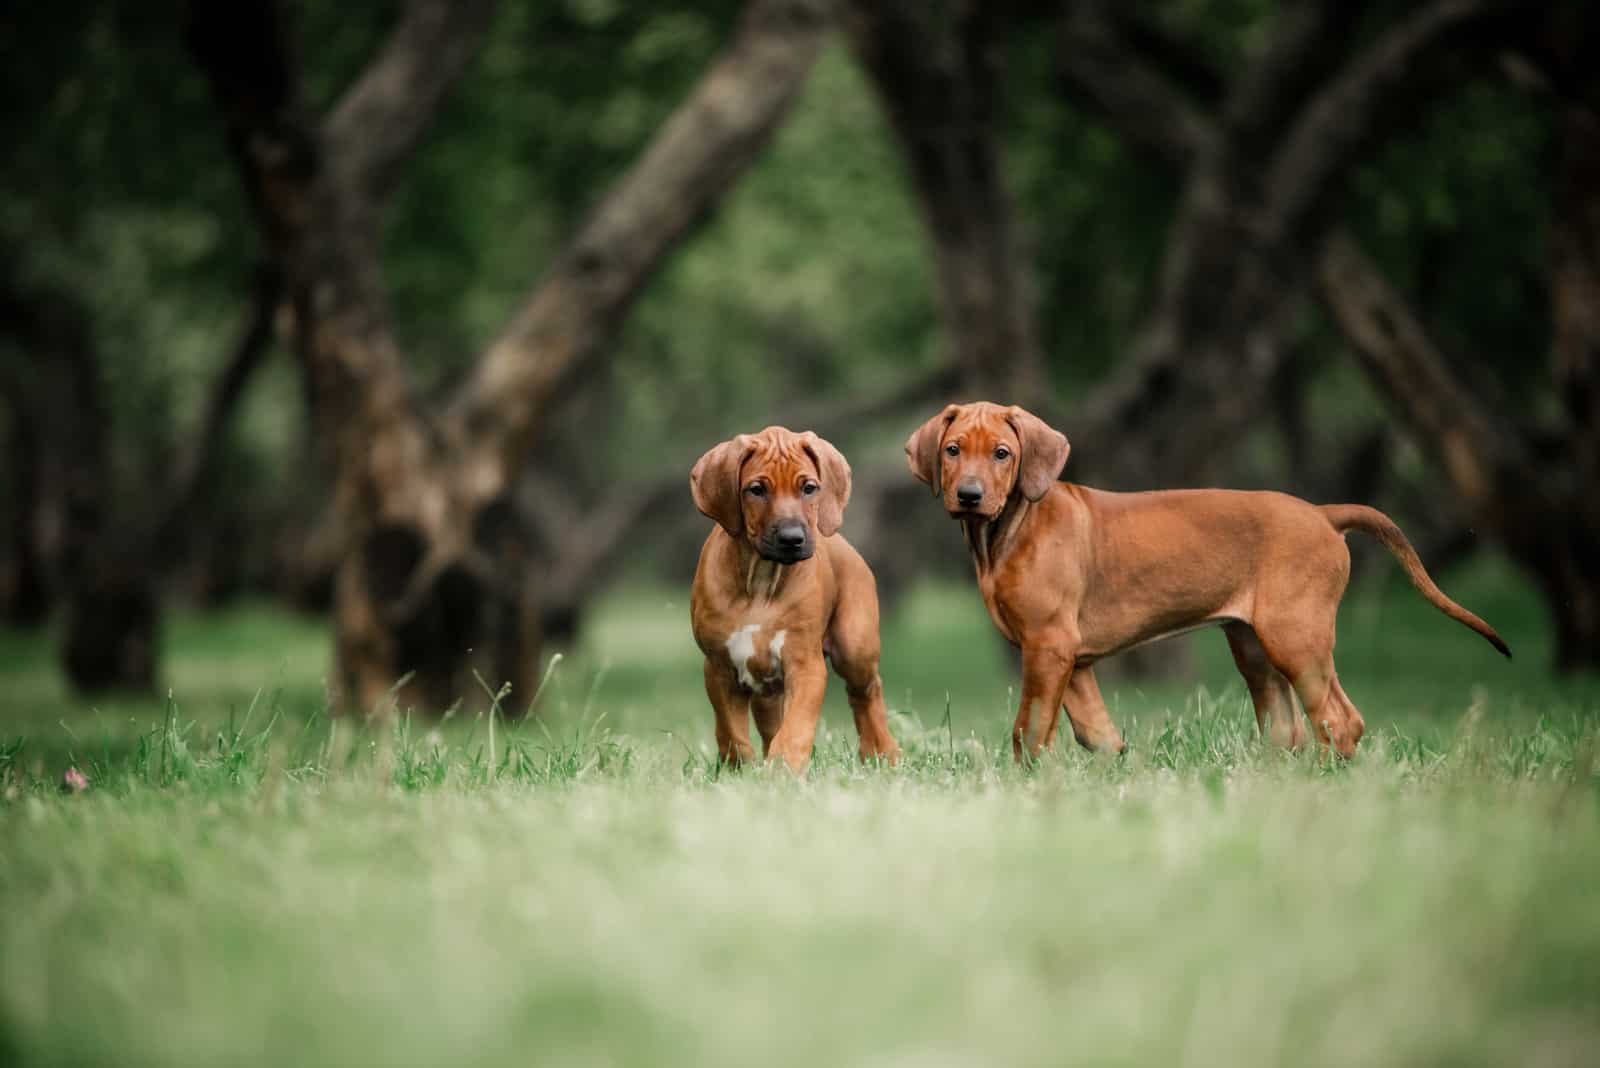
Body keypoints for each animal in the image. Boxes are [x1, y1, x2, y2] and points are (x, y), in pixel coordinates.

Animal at [691, 422, 902, 767]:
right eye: (757, 490)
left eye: (809, 488)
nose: (792, 538)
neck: (761, 580)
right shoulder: (719, 667)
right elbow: (732, 731)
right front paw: (740, 767)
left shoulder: (805, 665)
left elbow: (795, 728)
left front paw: (783, 768)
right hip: (766, 689)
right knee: (768, 722)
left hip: (855, 646)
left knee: (866, 691)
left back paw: (881, 751)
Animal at [908, 399, 1504, 757]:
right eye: (952, 450)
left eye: (1002, 454)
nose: (968, 496)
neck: (1008, 530)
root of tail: (1322, 513)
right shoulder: (1069, 659)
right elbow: (1097, 733)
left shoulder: (1048, 645)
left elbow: (1028, 730)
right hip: (1254, 645)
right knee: (1285, 725)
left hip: (1295, 636)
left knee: (1339, 718)